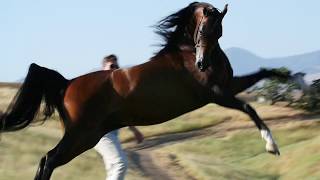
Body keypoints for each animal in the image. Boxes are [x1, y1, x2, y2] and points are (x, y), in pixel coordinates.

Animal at [1, 2, 284, 179]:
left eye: (219, 31)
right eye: (202, 29)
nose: (202, 64)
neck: (186, 53)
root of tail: (66, 84)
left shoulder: (228, 86)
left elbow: (264, 73)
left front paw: (289, 77)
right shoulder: (215, 94)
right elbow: (249, 107)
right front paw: (272, 146)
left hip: (86, 136)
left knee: (46, 161)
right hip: (81, 136)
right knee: (48, 160)